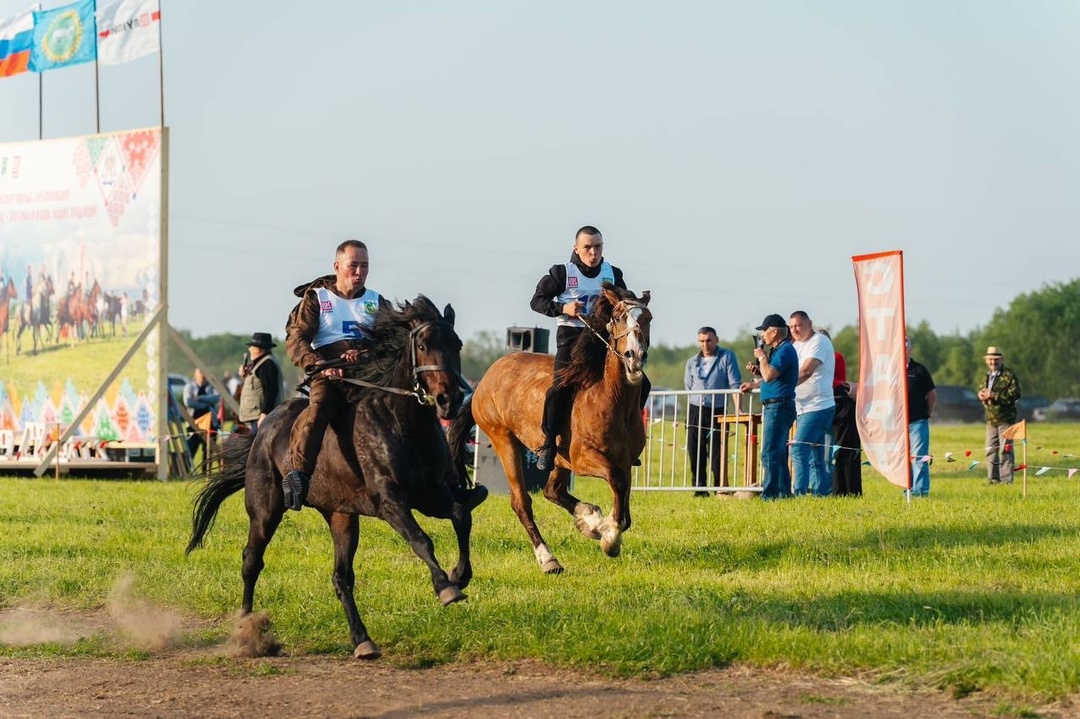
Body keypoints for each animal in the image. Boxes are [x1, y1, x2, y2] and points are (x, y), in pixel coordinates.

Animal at [447, 280, 648, 570]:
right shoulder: (584, 457)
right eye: (620, 317)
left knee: (553, 490)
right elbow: (618, 486)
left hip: (559, 459)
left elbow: (623, 505)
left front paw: (599, 526)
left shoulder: (624, 460)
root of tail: (484, 379)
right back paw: (548, 558)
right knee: (522, 502)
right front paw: (609, 537)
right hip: (504, 440)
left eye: (648, 318)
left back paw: (588, 519)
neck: (611, 398)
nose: (635, 357)